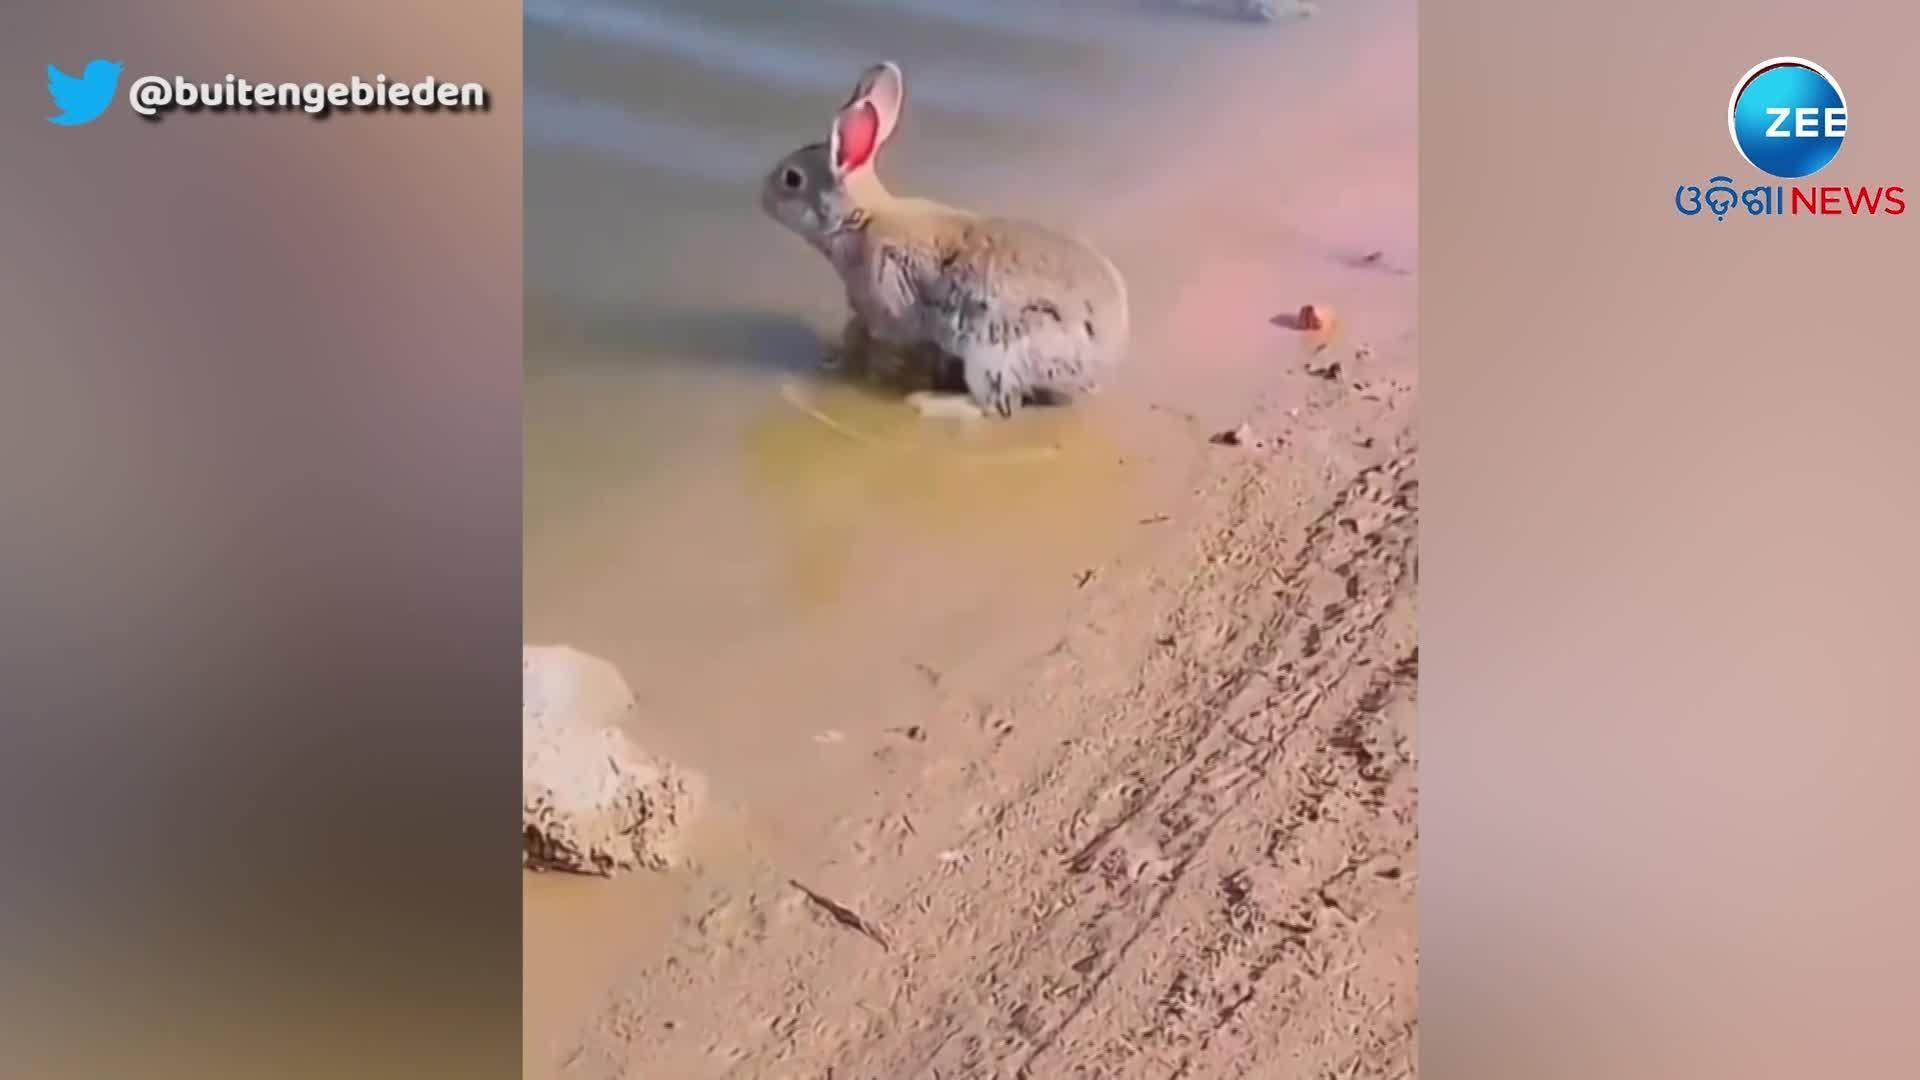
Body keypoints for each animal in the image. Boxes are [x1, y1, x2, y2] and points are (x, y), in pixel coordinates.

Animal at [760, 61, 1129, 420]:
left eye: (792, 179)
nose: (764, 198)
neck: (860, 219)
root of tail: (1097, 364)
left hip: (993, 354)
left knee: (992, 407)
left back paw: (926, 402)